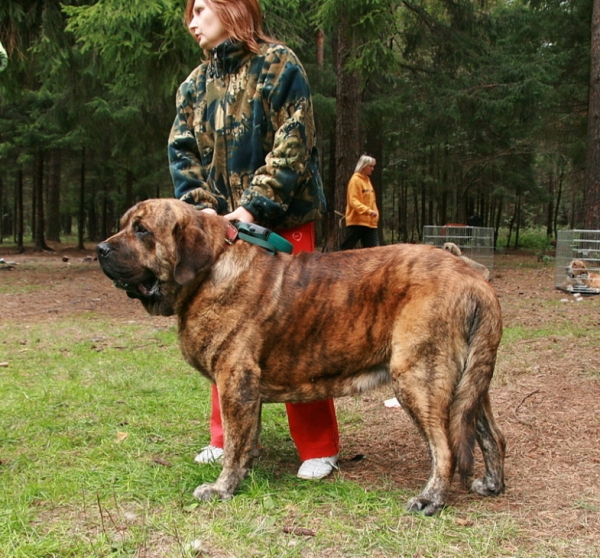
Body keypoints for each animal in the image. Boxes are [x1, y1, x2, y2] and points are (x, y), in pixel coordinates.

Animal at [96, 199, 504, 520]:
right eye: (123, 226)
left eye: (142, 230)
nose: (100, 248)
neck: (210, 269)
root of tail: (474, 278)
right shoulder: (246, 390)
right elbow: (246, 439)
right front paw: (243, 474)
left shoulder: (234, 381)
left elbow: (233, 443)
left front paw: (221, 488)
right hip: (469, 382)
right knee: (491, 435)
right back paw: (491, 484)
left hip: (418, 378)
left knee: (445, 448)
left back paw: (430, 499)